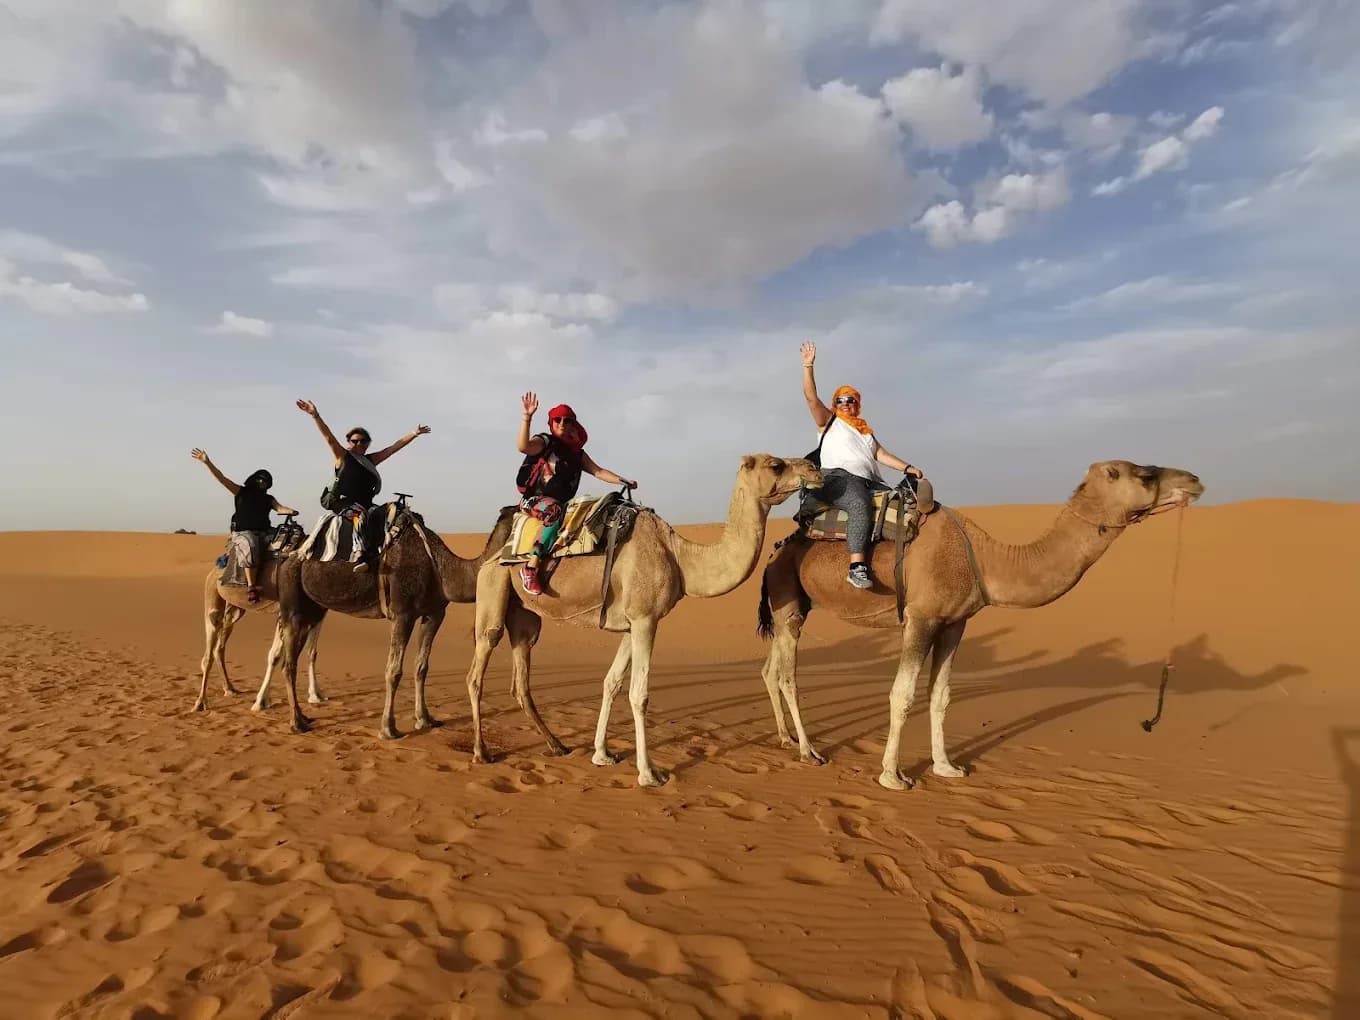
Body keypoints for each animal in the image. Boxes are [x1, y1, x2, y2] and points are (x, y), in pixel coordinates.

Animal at [194, 560, 324, 713]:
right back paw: (200, 703)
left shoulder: (318, 613)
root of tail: (213, 571)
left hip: (235, 610)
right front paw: (261, 702)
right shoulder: (286, 612)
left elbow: (312, 653)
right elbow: (275, 655)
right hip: (212, 596)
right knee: (208, 654)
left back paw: (230, 689)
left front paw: (316, 695)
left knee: (219, 647)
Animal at [275, 506, 549, 744]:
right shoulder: (402, 614)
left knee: (292, 656)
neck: (441, 570)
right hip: (293, 604)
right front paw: (388, 728)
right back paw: (296, 722)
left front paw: (425, 719)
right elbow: (394, 671)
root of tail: (290, 555)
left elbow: (422, 667)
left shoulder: (434, 614)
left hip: (314, 608)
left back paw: (303, 716)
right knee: (288, 662)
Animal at [465, 454, 822, 787]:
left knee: (521, 674)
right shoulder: (646, 619)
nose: (814, 470)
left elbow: (611, 682)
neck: (679, 557)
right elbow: (640, 694)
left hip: (524, 616)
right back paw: (481, 752)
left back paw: (557, 746)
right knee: (477, 668)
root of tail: (493, 557)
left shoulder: (631, 623)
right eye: (776, 465)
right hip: (493, 591)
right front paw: (649, 773)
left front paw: (602, 754)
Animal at [757, 460, 1203, 790]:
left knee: (771, 669)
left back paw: (787, 739)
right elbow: (902, 694)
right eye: (1144, 475)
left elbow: (941, 696)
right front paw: (892, 776)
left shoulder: (955, 622)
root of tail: (775, 552)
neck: (986, 560)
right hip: (788, 601)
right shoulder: (920, 618)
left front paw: (946, 767)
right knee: (788, 674)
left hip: (792, 605)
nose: (1195, 480)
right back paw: (808, 751)